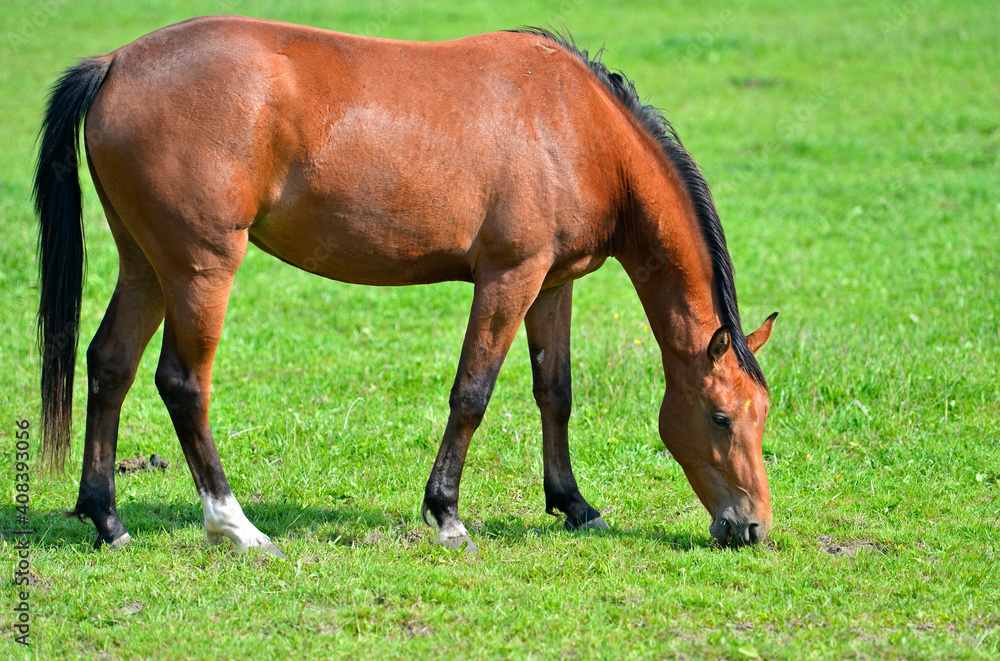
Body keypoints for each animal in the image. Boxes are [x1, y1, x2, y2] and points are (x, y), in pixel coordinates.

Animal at [35, 15, 776, 556]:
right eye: (720, 417)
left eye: (762, 416)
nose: (752, 527)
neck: (575, 126)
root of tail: (117, 63)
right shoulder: (509, 277)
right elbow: (472, 394)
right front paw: (447, 514)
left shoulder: (551, 284)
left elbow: (555, 392)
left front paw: (574, 504)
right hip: (200, 270)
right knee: (183, 384)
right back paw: (235, 525)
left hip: (146, 266)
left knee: (110, 365)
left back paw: (106, 519)